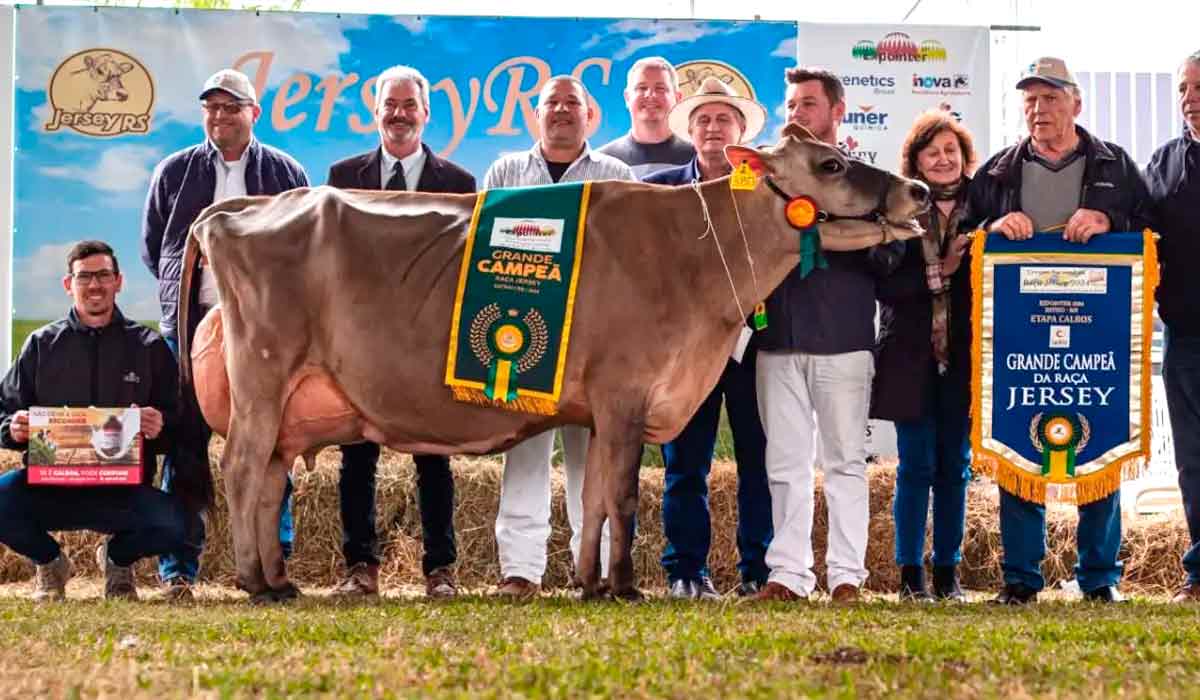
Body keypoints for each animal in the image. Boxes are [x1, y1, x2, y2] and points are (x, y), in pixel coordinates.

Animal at [177, 123, 926, 600]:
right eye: (831, 166)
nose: (917, 190)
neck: (697, 255)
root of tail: (239, 207)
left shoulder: (601, 410)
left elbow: (591, 498)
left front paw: (589, 582)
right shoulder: (626, 395)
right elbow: (622, 497)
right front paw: (623, 587)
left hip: (287, 399)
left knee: (270, 477)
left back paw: (280, 578)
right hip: (264, 371)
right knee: (242, 468)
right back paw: (254, 582)